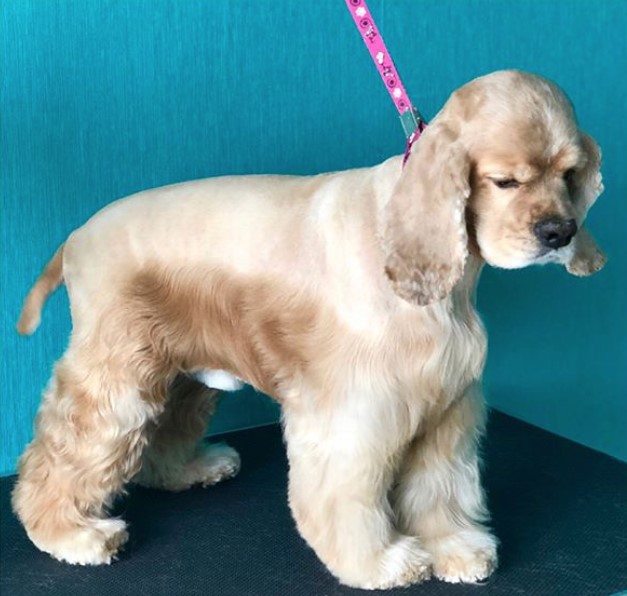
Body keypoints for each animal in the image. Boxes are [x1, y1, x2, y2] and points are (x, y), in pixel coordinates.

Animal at [12, 70, 604, 588]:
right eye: (504, 181)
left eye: (569, 175)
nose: (559, 231)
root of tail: (76, 237)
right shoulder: (354, 414)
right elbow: (347, 498)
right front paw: (381, 562)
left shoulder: (448, 409)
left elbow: (443, 488)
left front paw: (455, 548)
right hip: (117, 377)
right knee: (59, 454)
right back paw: (70, 534)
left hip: (179, 369)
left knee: (162, 433)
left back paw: (192, 468)